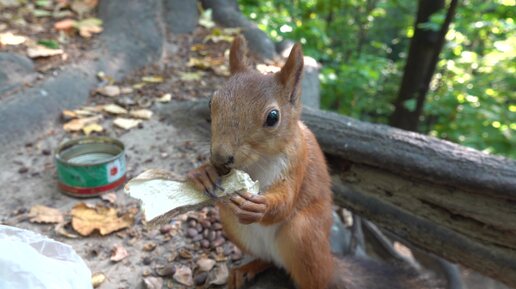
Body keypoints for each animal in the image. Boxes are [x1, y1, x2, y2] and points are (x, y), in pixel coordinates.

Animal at [187, 36, 434, 288]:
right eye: (211, 101)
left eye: (273, 117)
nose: (220, 156)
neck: (258, 161)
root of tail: (330, 263)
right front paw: (203, 173)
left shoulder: (298, 162)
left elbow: (285, 200)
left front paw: (261, 206)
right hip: (233, 224)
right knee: (267, 259)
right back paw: (247, 269)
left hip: (304, 235)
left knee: (315, 277)